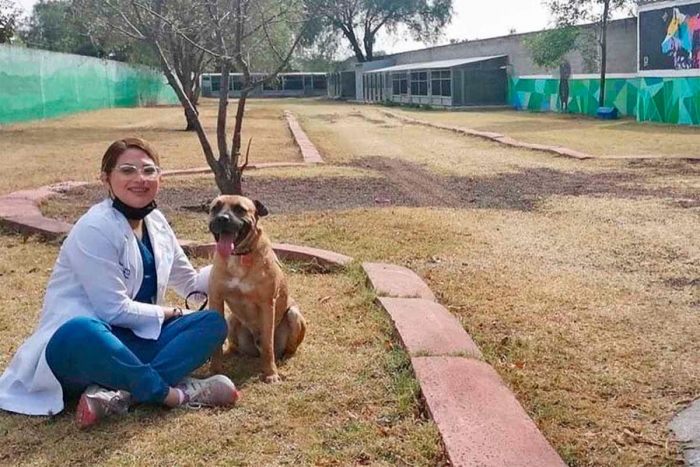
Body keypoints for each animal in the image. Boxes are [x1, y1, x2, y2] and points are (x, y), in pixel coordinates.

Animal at [208, 196, 306, 382]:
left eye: (240, 209)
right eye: (215, 208)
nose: (222, 219)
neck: (239, 255)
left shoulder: (267, 304)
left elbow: (268, 346)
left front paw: (271, 374)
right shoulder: (216, 299)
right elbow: (215, 345)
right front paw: (215, 370)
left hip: (294, 315)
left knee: (285, 348)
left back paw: (283, 358)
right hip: (232, 320)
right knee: (234, 346)